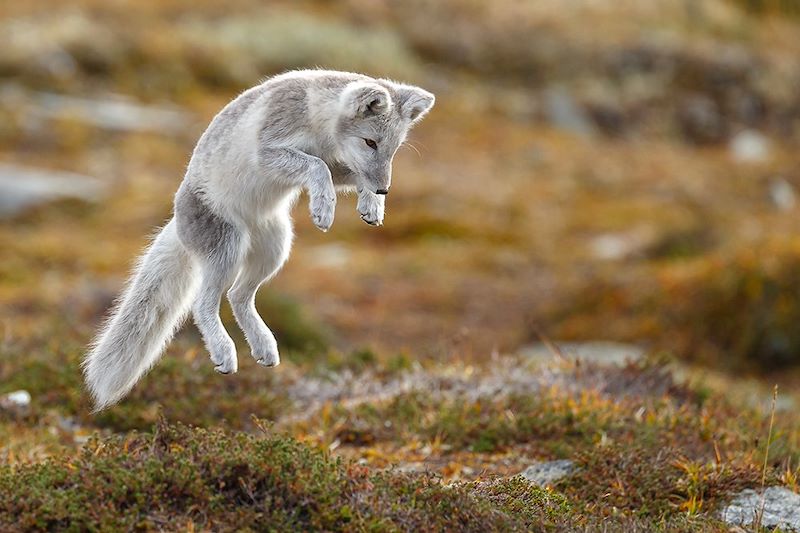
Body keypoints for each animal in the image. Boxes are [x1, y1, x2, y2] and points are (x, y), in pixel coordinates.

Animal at [82, 70, 435, 410]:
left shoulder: (336, 161)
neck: (317, 120)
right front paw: (324, 207)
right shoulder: (270, 149)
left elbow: (342, 170)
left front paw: (371, 205)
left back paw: (264, 346)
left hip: (276, 246)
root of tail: (177, 223)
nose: (384, 189)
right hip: (228, 245)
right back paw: (224, 351)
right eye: (370, 142)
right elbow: (317, 166)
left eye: (394, 149)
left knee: (238, 296)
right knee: (204, 303)